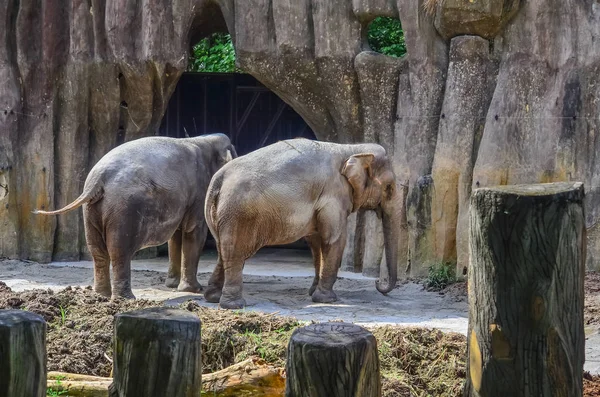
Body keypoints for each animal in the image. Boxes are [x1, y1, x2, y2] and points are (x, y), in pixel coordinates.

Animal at [34, 131, 237, 298]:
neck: (202, 139)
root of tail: (98, 179)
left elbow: (175, 237)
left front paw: (172, 286)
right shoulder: (198, 192)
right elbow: (193, 232)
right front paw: (193, 290)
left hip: (92, 211)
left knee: (97, 252)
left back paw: (101, 296)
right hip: (123, 210)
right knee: (119, 251)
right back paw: (125, 298)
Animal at [203, 138, 404, 308]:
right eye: (389, 188)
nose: (379, 283)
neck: (351, 149)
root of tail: (218, 179)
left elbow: (316, 242)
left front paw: (313, 292)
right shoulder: (334, 194)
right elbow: (334, 239)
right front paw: (327, 300)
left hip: (222, 215)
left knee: (223, 251)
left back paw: (213, 298)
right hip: (239, 214)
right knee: (235, 253)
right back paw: (234, 305)